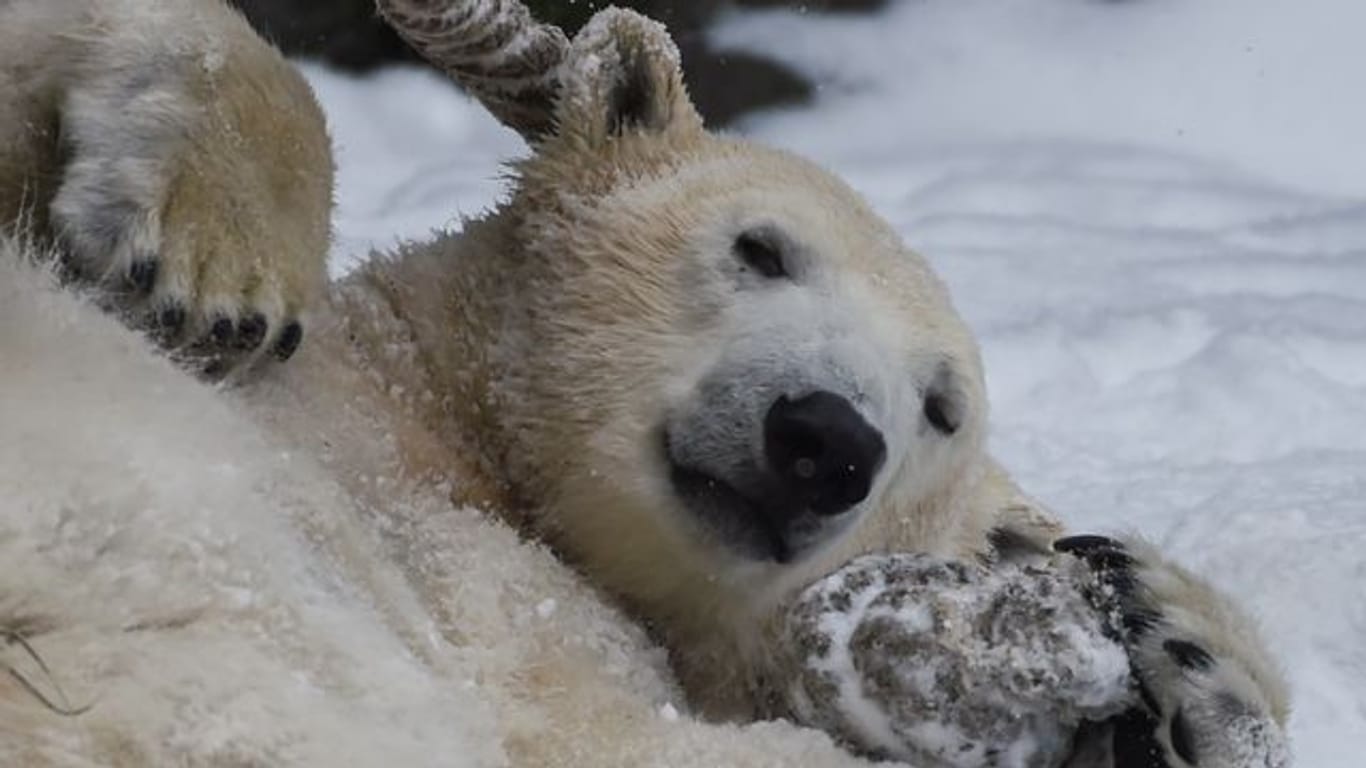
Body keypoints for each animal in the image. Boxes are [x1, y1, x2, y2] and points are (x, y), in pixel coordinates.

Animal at [0, 0, 1284, 759]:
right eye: (759, 247)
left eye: (940, 409)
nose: (825, 439)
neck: (448, 423)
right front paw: (214, 264)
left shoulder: (542, 619)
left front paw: (1175, 641)